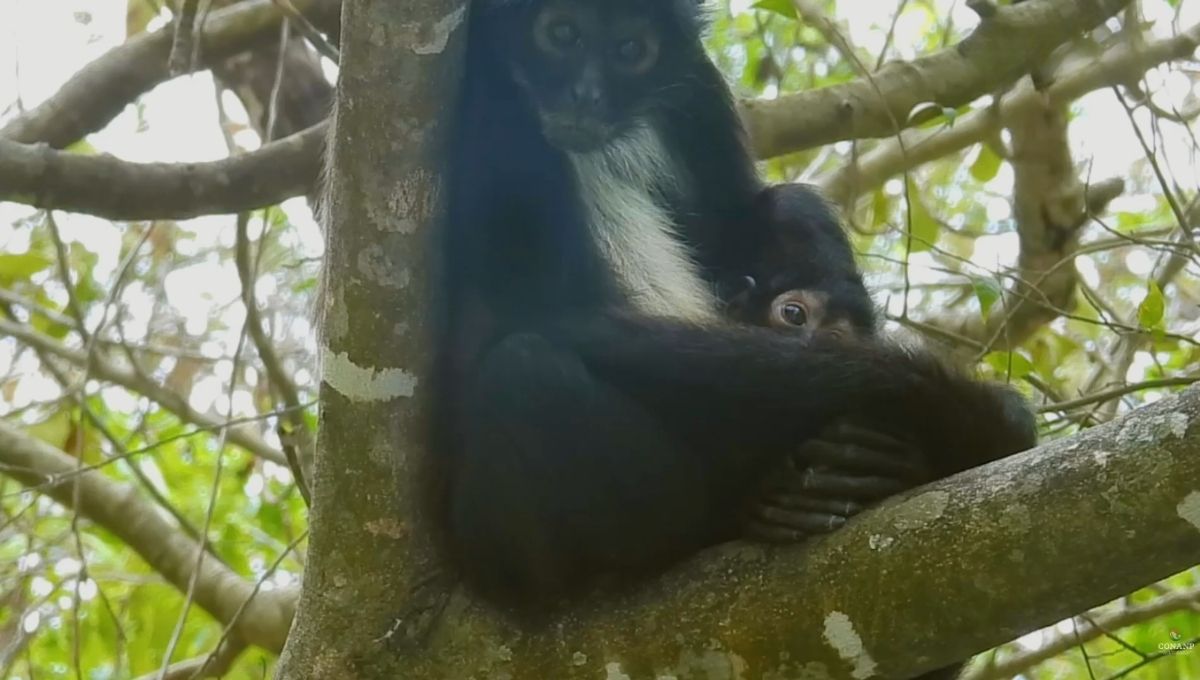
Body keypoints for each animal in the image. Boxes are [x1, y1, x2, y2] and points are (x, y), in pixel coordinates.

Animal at [432, 0, 1037, 611]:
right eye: (560, 33)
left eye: (630, 50)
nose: (586, 94)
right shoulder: (491, 97)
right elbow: (542, 316)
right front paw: (971, 422)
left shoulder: (697, 83)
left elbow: (742, 213)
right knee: (525, 370)